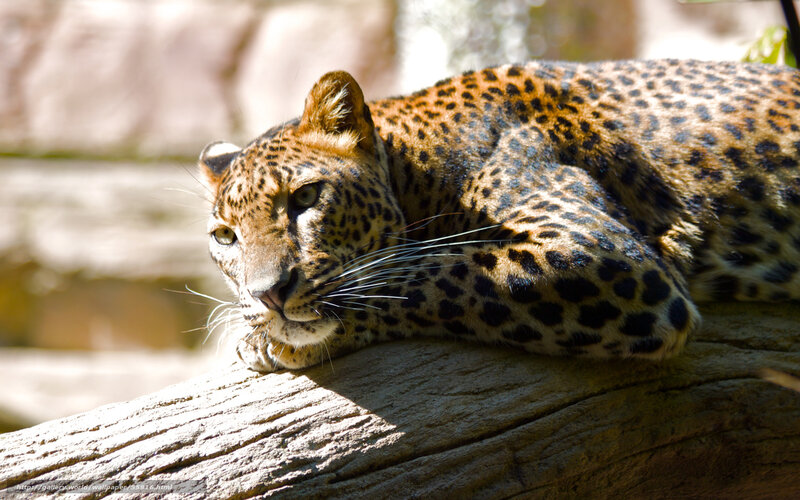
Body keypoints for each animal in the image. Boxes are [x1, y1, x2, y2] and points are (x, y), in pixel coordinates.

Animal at [198, 59, 800, 372]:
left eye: (305, 198)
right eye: (225, 237)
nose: (268, 295)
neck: (421, 167)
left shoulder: (601, 252)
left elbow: (437, 272)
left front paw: (270, 338)